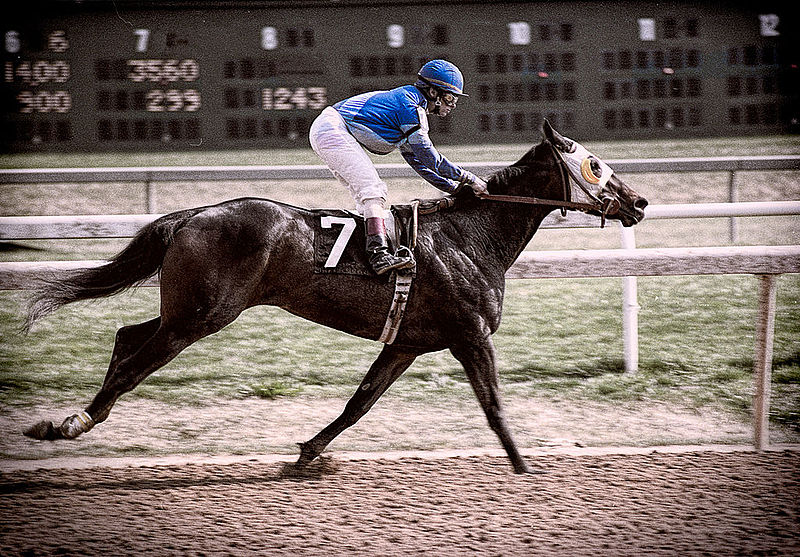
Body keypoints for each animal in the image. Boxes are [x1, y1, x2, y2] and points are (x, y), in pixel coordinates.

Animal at [25, 121, 648, 474]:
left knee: (127, 336)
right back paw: (71, 422)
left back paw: (73, 419)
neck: (471, 237)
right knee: (135, 363)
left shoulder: (409, 344)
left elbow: (359, 403)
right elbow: (493, 405)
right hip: (201, 315)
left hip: (185, 310)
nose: (639, 202)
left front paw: (308, 454)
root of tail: (192, 215)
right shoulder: (469, 334)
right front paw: (523, 466)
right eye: (595, 164)